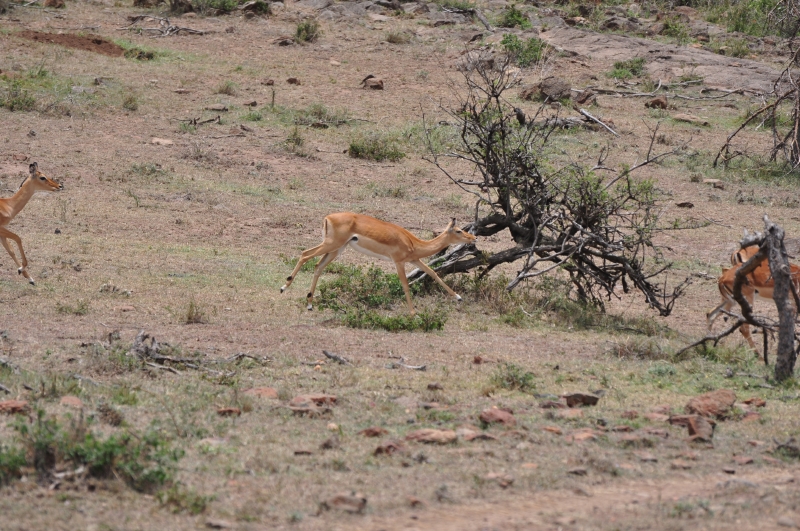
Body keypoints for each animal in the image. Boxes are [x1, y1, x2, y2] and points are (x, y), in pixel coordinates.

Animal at [281, 212, 477, 314]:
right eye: (459, 231)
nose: (473, 238)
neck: (414, 243)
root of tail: (328, 217)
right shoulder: (398, 262)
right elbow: (405, 285)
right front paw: (413, 313)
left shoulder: (414, 259)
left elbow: (433, 273)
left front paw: (458, 297)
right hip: (331, 245)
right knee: (305, 254)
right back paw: (284, 287)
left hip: (336, 250)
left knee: (317, 266)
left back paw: (309, 304)